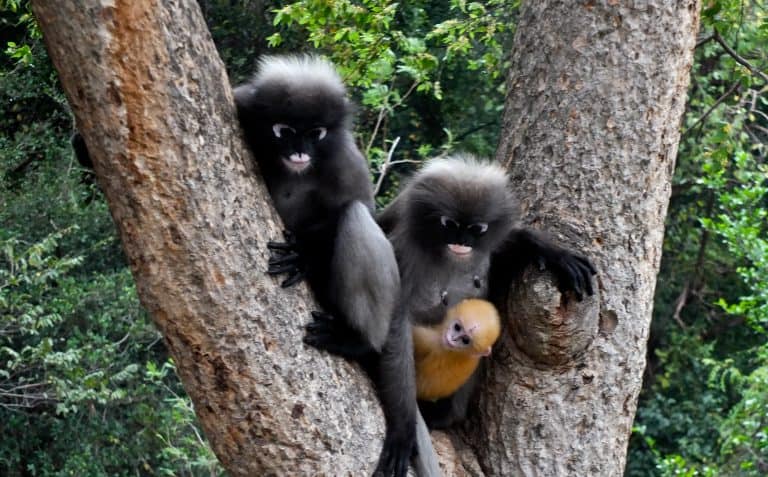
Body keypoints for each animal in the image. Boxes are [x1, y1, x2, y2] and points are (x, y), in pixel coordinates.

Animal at [233, 55, 439, 477]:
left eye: (316, 133)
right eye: (284, 130)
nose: (299, 153)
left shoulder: (347, 160)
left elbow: (357, 212)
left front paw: (305, 255)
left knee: (355, 217)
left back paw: (357, 341)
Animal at [377, 154, 596, 429]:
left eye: (476, 228)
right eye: (450, 224)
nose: (462, 242)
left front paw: (553, 253)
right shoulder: (403, 250)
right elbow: (396, 322)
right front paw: (404, 425)